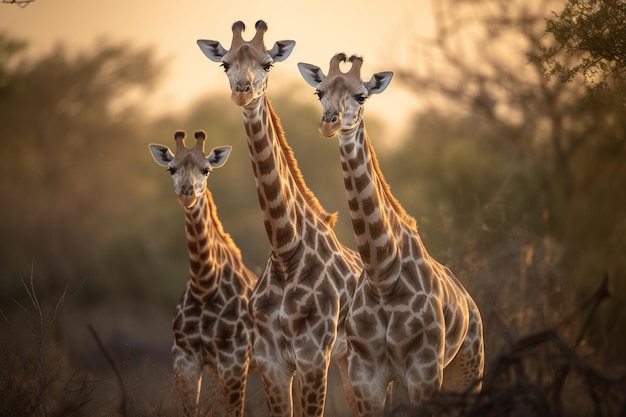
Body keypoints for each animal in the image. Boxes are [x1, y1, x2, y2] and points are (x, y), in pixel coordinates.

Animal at [147, 130, 258, 416]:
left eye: (206, 170)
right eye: (171, 168)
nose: (187, 193)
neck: (204, 285)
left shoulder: (233, 361)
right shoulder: (184, 360)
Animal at [195, 21, 360, 416]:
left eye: (268, 63)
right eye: (224, 64)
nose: (243, 93)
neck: (286, 250)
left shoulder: (314, 358)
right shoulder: (273, 363)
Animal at [298, 53, 482, 414]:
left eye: (361, 96)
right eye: (319, 92)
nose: (329, 123)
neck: (383, 274)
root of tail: (472, 305)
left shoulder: (424, 373)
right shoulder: (366, 376)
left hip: (468, 369)